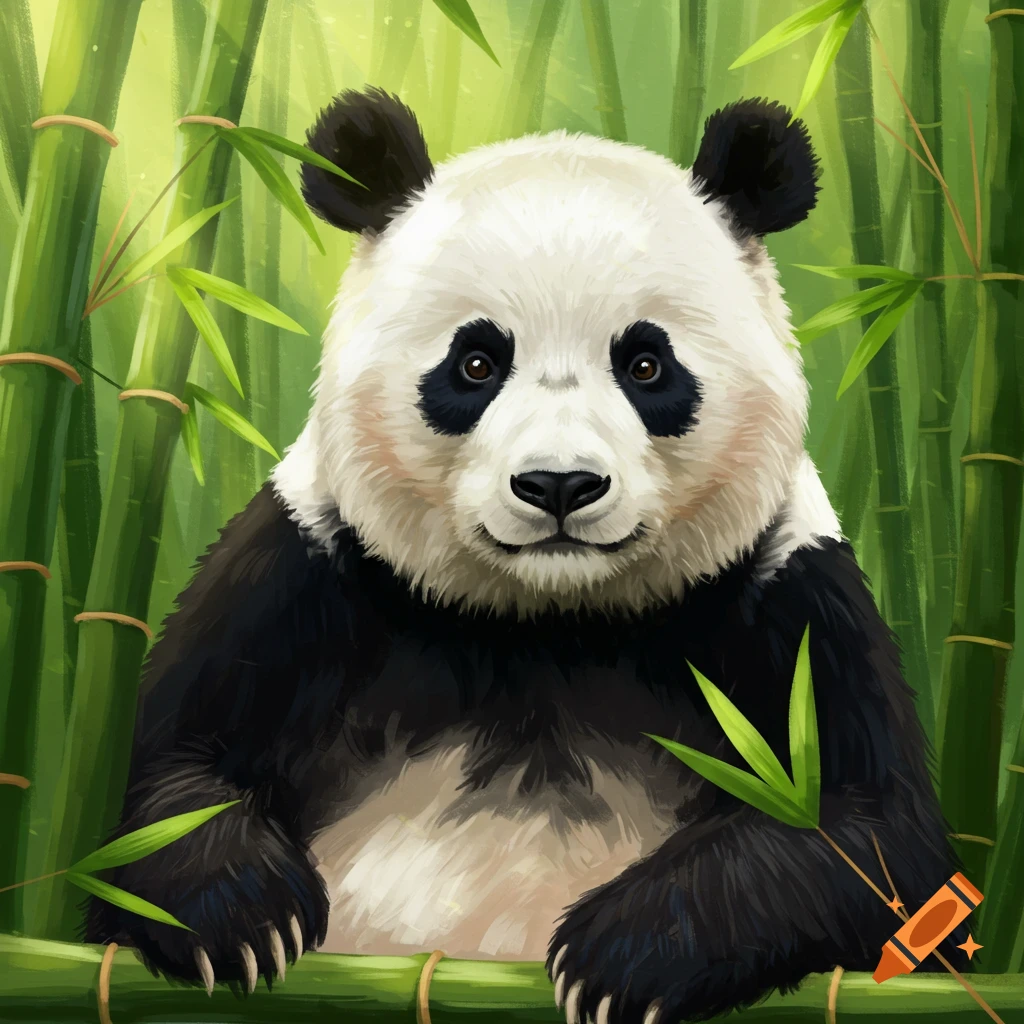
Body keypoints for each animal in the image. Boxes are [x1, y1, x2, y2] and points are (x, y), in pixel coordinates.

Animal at [85, 87, 958, 1024]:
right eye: (475, 362)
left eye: (646, 364)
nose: (560, 484)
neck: (545, 624)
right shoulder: (306, 573)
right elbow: (165, 781)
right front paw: (244, 915)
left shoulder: (785, 597)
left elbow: (869, 834)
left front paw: (623, 953)